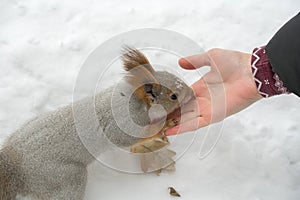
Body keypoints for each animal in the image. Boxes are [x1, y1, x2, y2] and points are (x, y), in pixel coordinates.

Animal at [0, 47, 195, 199]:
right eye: (173, 96)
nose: (192, 94)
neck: (136, 100)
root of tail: (13, 164)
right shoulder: (124, 122)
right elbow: (126, 138)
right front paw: (166, 124)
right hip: (63, 177)